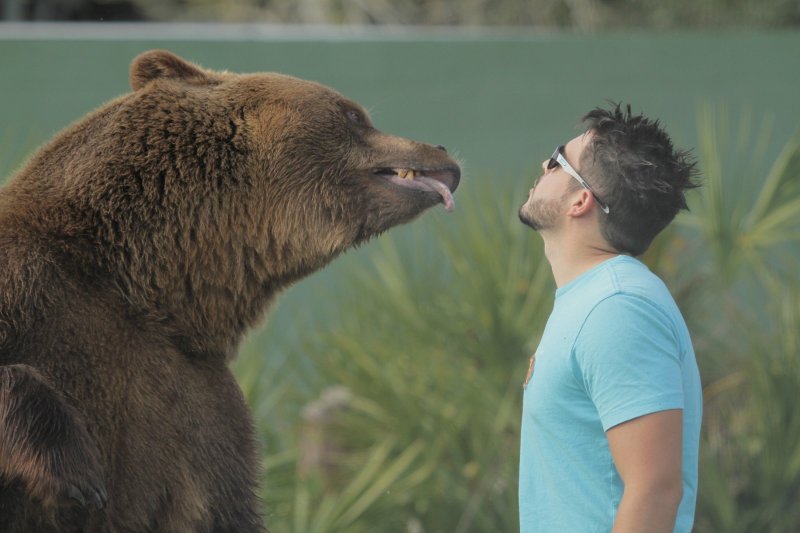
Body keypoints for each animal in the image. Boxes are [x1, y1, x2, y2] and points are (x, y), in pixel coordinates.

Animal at [0, 47, 460, 528]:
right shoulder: (33, 289)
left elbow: (223, 502)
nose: (441, 148)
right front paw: (75, 472)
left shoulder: (201, 403)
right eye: (354, 114)